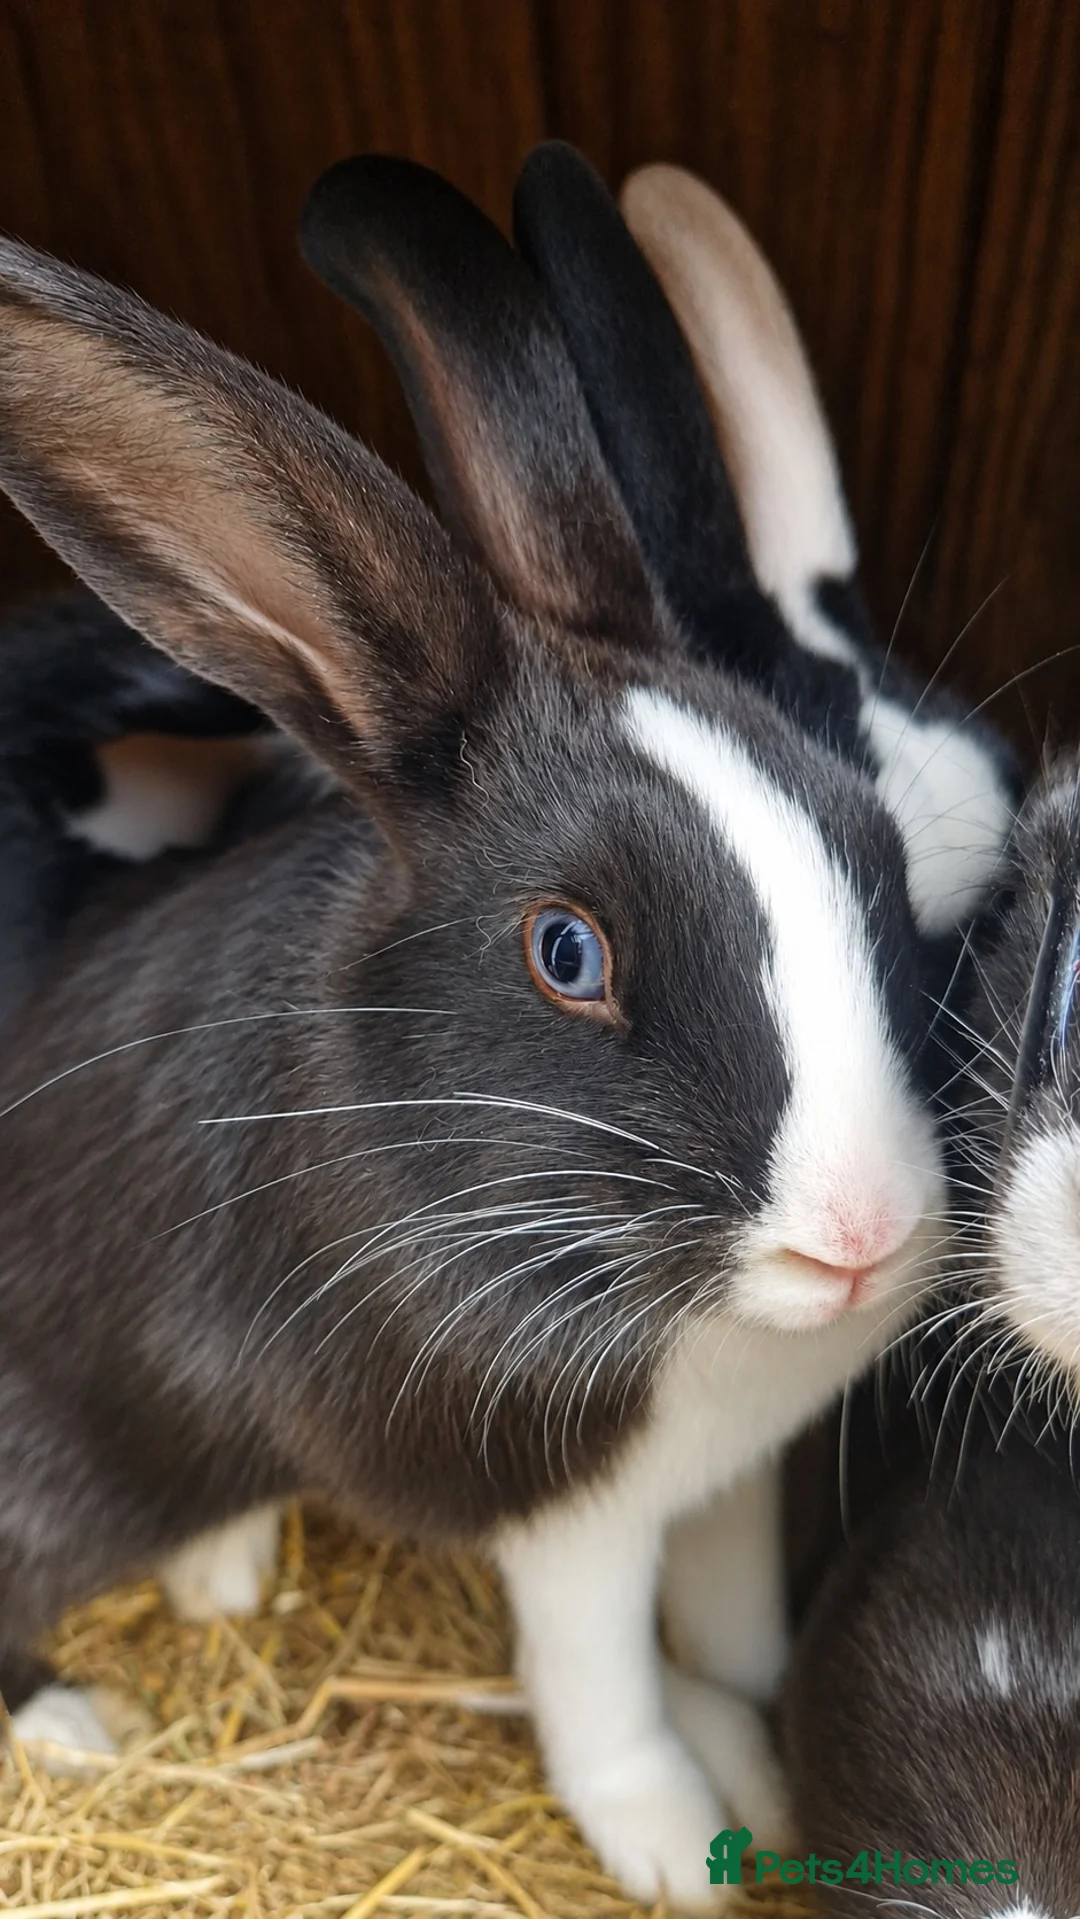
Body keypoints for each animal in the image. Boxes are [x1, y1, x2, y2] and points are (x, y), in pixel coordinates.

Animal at [0, 153, 954, 1908]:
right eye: (567, 952)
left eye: (877, 848)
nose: (861, 1233)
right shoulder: (564, 1505)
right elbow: (605, 1688)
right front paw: (679, 1843)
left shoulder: (729, 1479)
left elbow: (729, 1626)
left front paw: (762, 1756)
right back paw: (82, 1716)